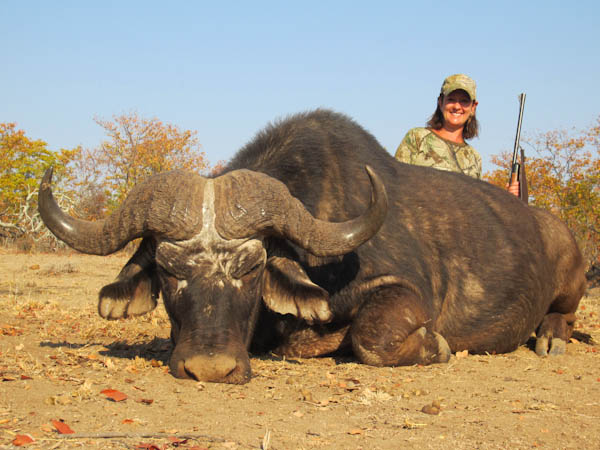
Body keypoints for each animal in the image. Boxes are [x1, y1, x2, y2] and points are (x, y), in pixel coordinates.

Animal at [38, 109, 586, 384]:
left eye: (253, 268)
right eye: (170, 270)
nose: (210, 369)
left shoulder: (404, 294)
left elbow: (370, 337)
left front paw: (438, 346)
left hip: (571, 278)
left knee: (564, 315)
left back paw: (551, 337)